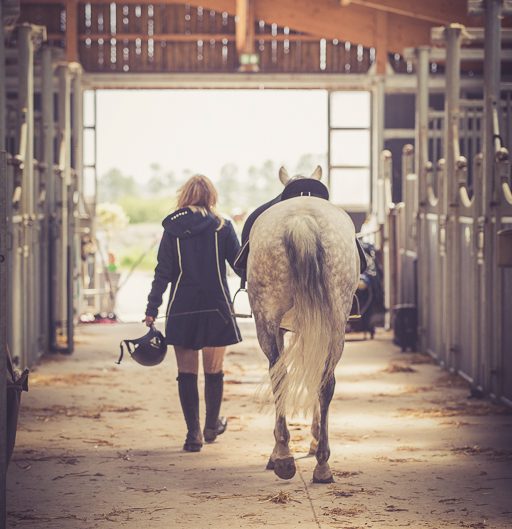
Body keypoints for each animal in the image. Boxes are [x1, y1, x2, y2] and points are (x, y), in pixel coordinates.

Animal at [248, 165, 360, 482]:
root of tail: (302, 220)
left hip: (267, 322)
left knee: (280, 376)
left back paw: (284, 456)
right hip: (334, 326)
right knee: (325, 382)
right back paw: (321, 464)